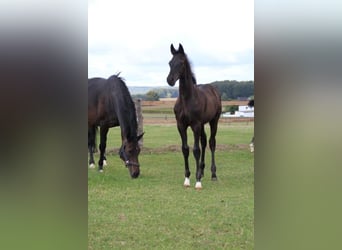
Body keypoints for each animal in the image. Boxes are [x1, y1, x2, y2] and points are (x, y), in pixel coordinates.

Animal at [166, 44, 222, 188]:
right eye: (170, 62)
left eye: (181, 62)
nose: (170, 80)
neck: (187, 99)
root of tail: (213, 89)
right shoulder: (181, 125)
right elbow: (185, 149)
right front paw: (187, 178)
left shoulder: (195, 125)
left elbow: (196, 150)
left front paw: (197, 181)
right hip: (202, 125)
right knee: (204, 141)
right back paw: (201, 171)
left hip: (214, 121)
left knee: (211, 143)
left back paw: (213, 174)